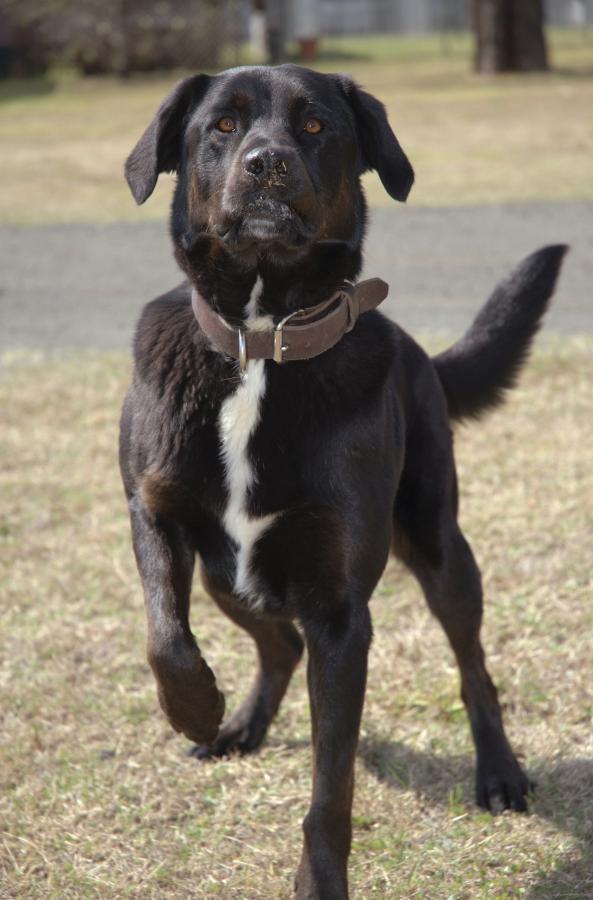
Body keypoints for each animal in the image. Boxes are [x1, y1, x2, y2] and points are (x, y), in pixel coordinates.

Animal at [119, 65, 564, 900]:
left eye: (316, 125)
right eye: (220, 126)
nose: (265, 163)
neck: (260, 340)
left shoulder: (338, 611)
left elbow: (331, 785)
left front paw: (319, 880)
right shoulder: (154, 511)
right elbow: (166, 636)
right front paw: (195, 710)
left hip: (437, 544)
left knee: (471, 664)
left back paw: (498, 771)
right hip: (232, 576)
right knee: (275, 644)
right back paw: (238, 724)